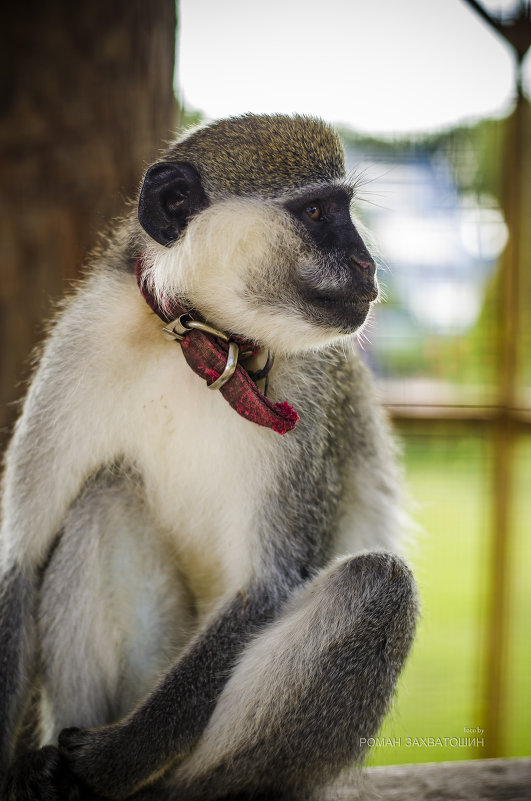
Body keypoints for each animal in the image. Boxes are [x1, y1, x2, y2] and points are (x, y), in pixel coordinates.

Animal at [1, 114, 420, 800]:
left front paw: (110, 760)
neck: (201, 341)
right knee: (105, 497)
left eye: (342, 208)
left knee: (376, 583)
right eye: (316, 212)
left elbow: (266, 586)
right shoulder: (81, 345)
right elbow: (22, 559)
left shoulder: (307, 394)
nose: (367, 264)